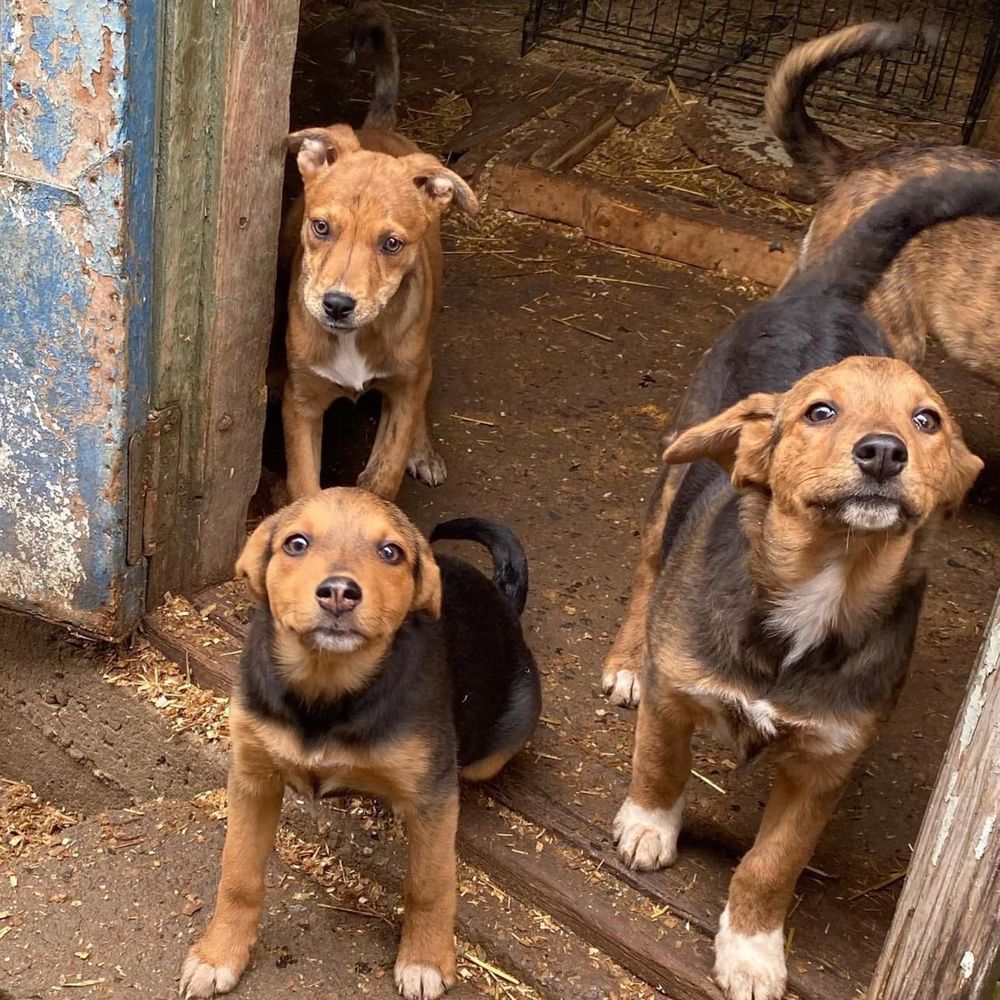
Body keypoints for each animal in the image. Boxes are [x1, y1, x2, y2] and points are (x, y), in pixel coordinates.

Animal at [179, 490, 540, 1000]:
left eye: (391, 552)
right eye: (296, 543)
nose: (338, 593)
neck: (326, 688)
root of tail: (502, 600)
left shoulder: (433, 795)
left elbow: (430, 884)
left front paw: (425, 959)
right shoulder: (252, 776)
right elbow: (238, 873)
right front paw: (219, 954)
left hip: (494, 746)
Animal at [280, 0, 478, 500]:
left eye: (391, 244)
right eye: (321, 227)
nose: (336, 304)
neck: (355, 339)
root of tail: (378, 129)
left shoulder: (403, 388)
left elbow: (384, 474)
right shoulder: (301, 399)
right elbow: (305, 485)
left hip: (423, 343)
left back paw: (423, 451)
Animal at [600, 172, 992, 1000]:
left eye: (928, 421)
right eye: (819, 412)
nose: (884, 452)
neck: (820, 587)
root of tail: (823, 291)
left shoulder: (825, 768)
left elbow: (770, 864)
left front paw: (752, 949)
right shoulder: (676, 693)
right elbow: (659, 762)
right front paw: (648, 827)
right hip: (679, 466)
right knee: (648, 570)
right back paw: (623, 661)